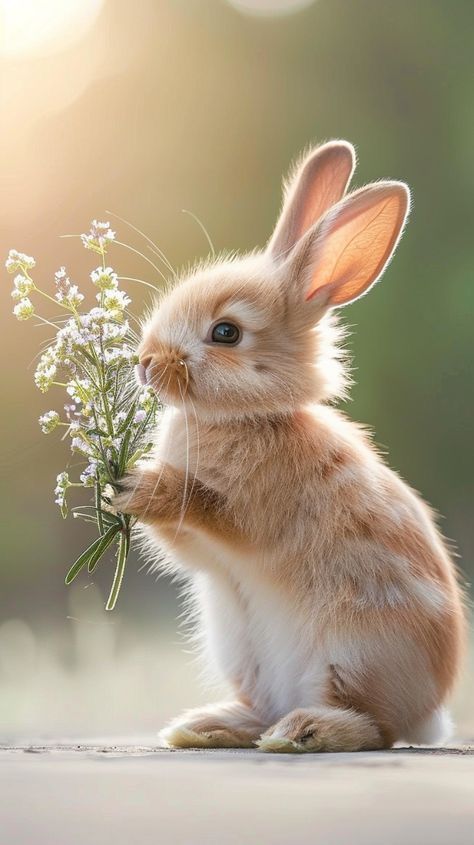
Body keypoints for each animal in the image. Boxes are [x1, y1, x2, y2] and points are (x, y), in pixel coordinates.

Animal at [115, 140, 466, 752]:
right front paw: (122, 487)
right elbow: (186, 549)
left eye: (225, 333)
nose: (146, 364)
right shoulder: (202, 556)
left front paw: (144, 485)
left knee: (372, 726)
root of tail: (430, 717)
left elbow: (214, 511)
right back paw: (205, 727)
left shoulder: (253, 513)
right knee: (268, 710)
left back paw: (301, 732)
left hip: (351, 650)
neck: (248, 417)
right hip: (241, 650)